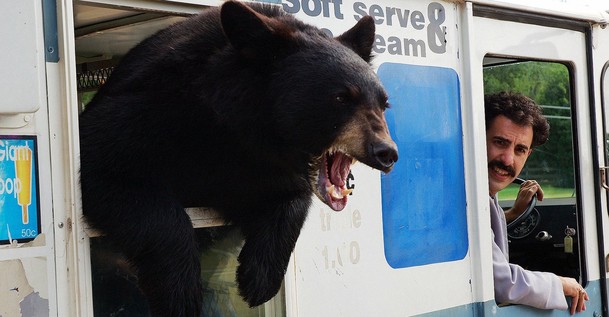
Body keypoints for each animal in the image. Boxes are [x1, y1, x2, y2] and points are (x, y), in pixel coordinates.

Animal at [78, 1, 396, 314]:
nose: (386, 152)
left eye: (384, 103)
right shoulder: (151, 112)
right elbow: (110, 172)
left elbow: (289, 200)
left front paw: (258, 279)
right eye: (341, 97)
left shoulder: (261, 168)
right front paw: (180, 293)